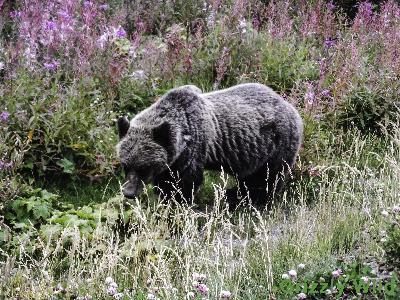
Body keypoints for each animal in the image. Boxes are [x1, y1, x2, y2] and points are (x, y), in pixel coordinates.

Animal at [117, 83, 302, 205]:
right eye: (125, 165)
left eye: (143, 167)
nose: (128, 192)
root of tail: (291, 107)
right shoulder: (171, 161)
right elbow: (165, 182)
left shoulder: (194, 148)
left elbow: (185, 183)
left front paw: (177, 202)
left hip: (278, 144)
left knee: (268, 179)